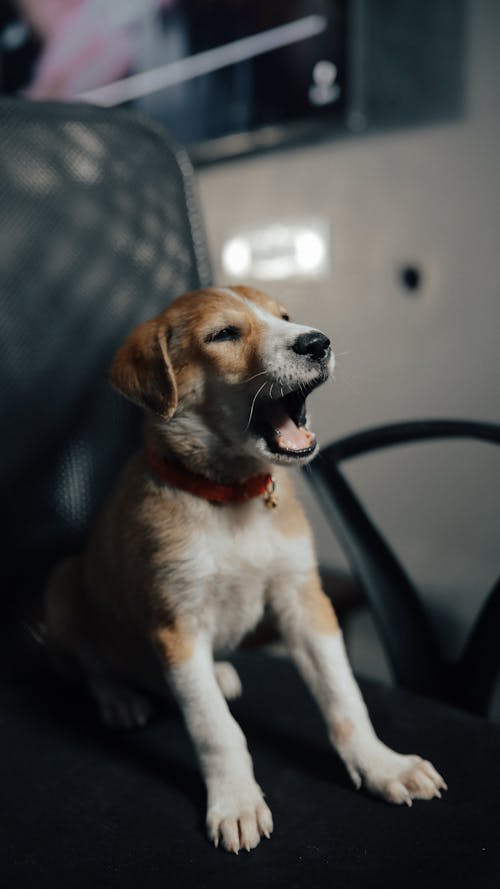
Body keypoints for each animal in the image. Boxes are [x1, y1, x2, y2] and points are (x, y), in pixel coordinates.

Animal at [46, 286, 446, 852]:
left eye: (284, 317)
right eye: (224, 334)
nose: (317, 342)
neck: (232, 499)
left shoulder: (304, 602)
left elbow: (344, 696)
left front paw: (381, 765)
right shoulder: (177, 627)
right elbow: (215, 728)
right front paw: (235, 802)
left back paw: (218, 673)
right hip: (62, 584)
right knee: (89, 663)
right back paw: (120, 699)